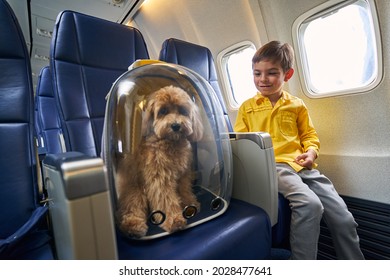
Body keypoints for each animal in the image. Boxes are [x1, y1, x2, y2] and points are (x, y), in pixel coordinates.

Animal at [116, 85, 204, 238]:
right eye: (163, 111)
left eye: (183, 111)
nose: (176, 125)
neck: (170, 143)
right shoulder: (160, 179)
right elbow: (166, 200)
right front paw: (174, 220)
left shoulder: (183, 175)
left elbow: (185, 190)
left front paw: (189, 205)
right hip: (135, 191)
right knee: (132, 208)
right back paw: (133, 226)